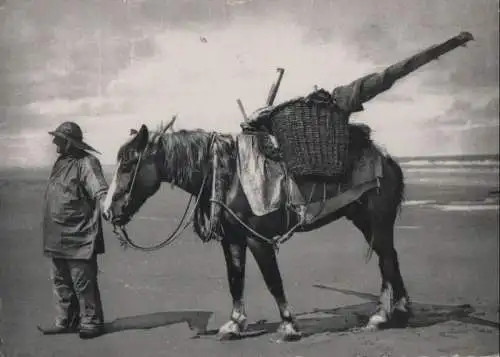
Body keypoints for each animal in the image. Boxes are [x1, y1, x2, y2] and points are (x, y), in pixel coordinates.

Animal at [103, 119, 412, 340]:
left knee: (386, 261)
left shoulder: (257, 239)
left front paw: (288, 326)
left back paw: (381, 316)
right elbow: (235, 279)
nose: (107, 211)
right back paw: (400, 310)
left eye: (129, 163)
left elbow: (272, 280)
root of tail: (386, 159)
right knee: (392, 258)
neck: (227, 176)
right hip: (366, 222)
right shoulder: (233, 239)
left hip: (377, 221)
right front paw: (234, 325)